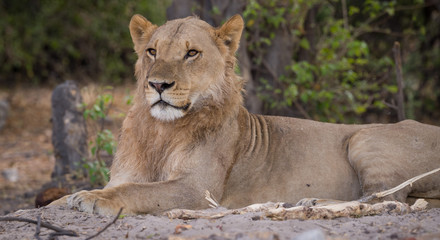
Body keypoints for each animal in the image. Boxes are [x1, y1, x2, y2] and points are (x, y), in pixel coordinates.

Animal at [55, 14, 440, 216]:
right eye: (151, 51)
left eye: (191, 53)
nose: (158, 85)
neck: (161, 130)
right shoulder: (124, 175)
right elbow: (88, 192)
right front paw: (70, 197)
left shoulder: (198, 190)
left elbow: (137, 192)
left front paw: (92, 199)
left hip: (364, 138)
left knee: (388, 200)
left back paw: (310, 201)